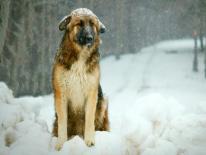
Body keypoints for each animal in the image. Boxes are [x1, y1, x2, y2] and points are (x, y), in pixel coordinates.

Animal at [51, 8, 109, 150]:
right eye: (79, 24)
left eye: (92, 24)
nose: (89, 38)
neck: (81, 56)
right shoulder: (61, 94)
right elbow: (62, 123)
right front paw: (61, 144)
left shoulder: (92, 94)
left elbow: (89, 120)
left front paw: (89, 141)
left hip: (103, 102)